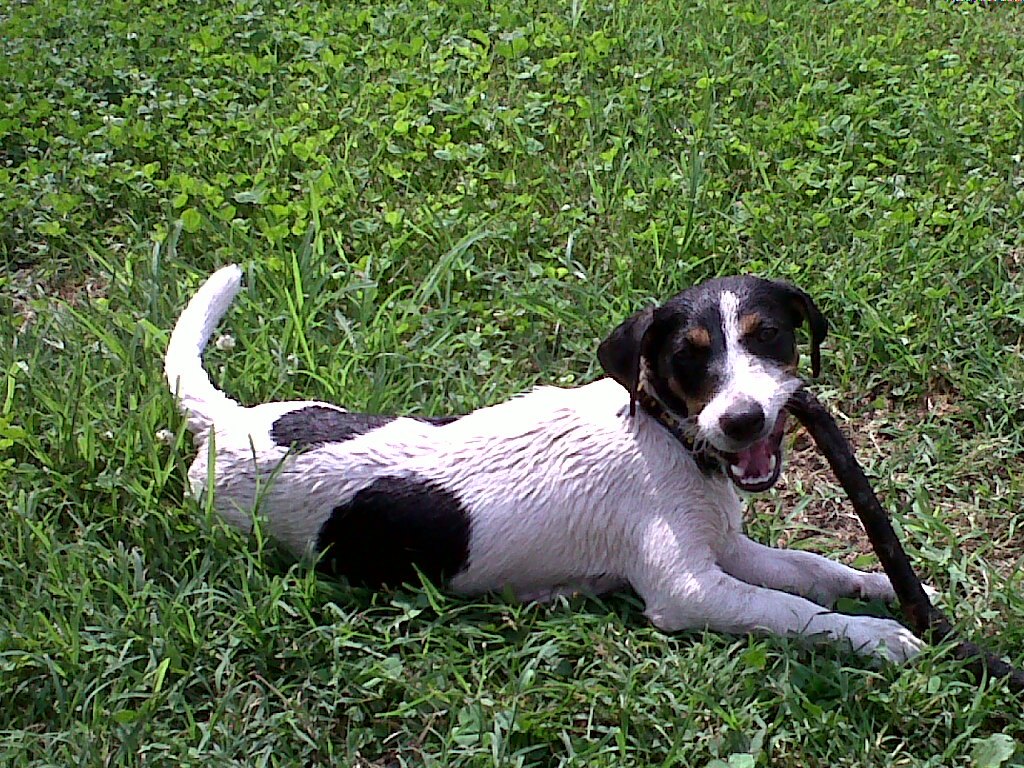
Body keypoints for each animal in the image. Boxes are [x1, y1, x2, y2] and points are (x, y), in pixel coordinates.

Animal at [165, 264, 921, 663]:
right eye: (688, 357)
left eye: (771, 338)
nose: (744, 421)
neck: (666, 439)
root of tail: (228, 424)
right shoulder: (688, 589)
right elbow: (792, 610)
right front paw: (874, 636)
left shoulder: (726, 547)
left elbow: (811, 572)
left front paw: (881, 589)